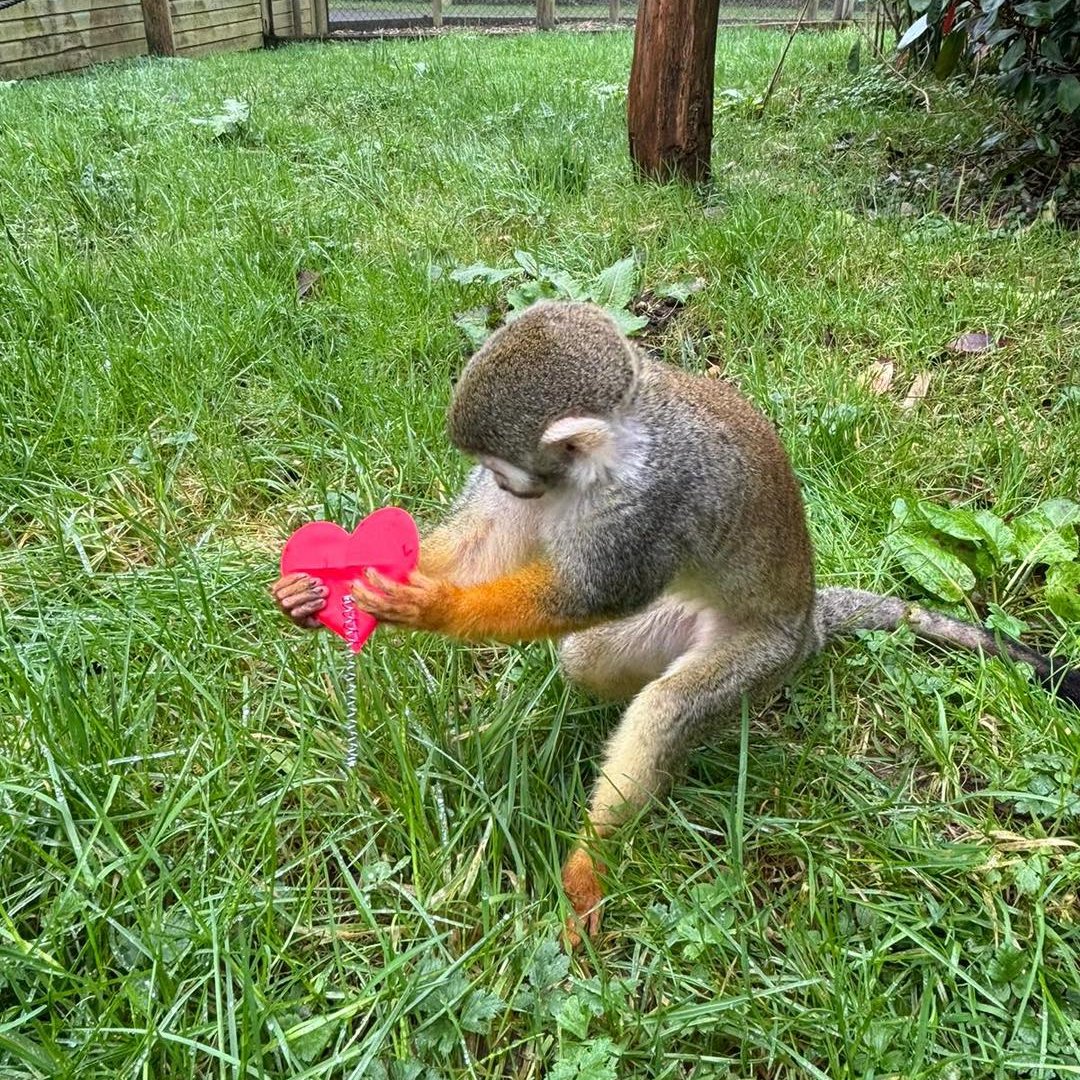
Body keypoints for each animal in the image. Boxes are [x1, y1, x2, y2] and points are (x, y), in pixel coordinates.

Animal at [272, 300, 1080, 941]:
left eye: (505, 469)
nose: (511, 487)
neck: (613, 450)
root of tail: (809, 620)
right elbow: (487, 544)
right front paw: (327, 583)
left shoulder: (653, 500)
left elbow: (593, 595)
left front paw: (431, 606)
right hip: (679, 625)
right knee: (590, 658)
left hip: (761, 652)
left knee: (668, 706)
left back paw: (594, 856)